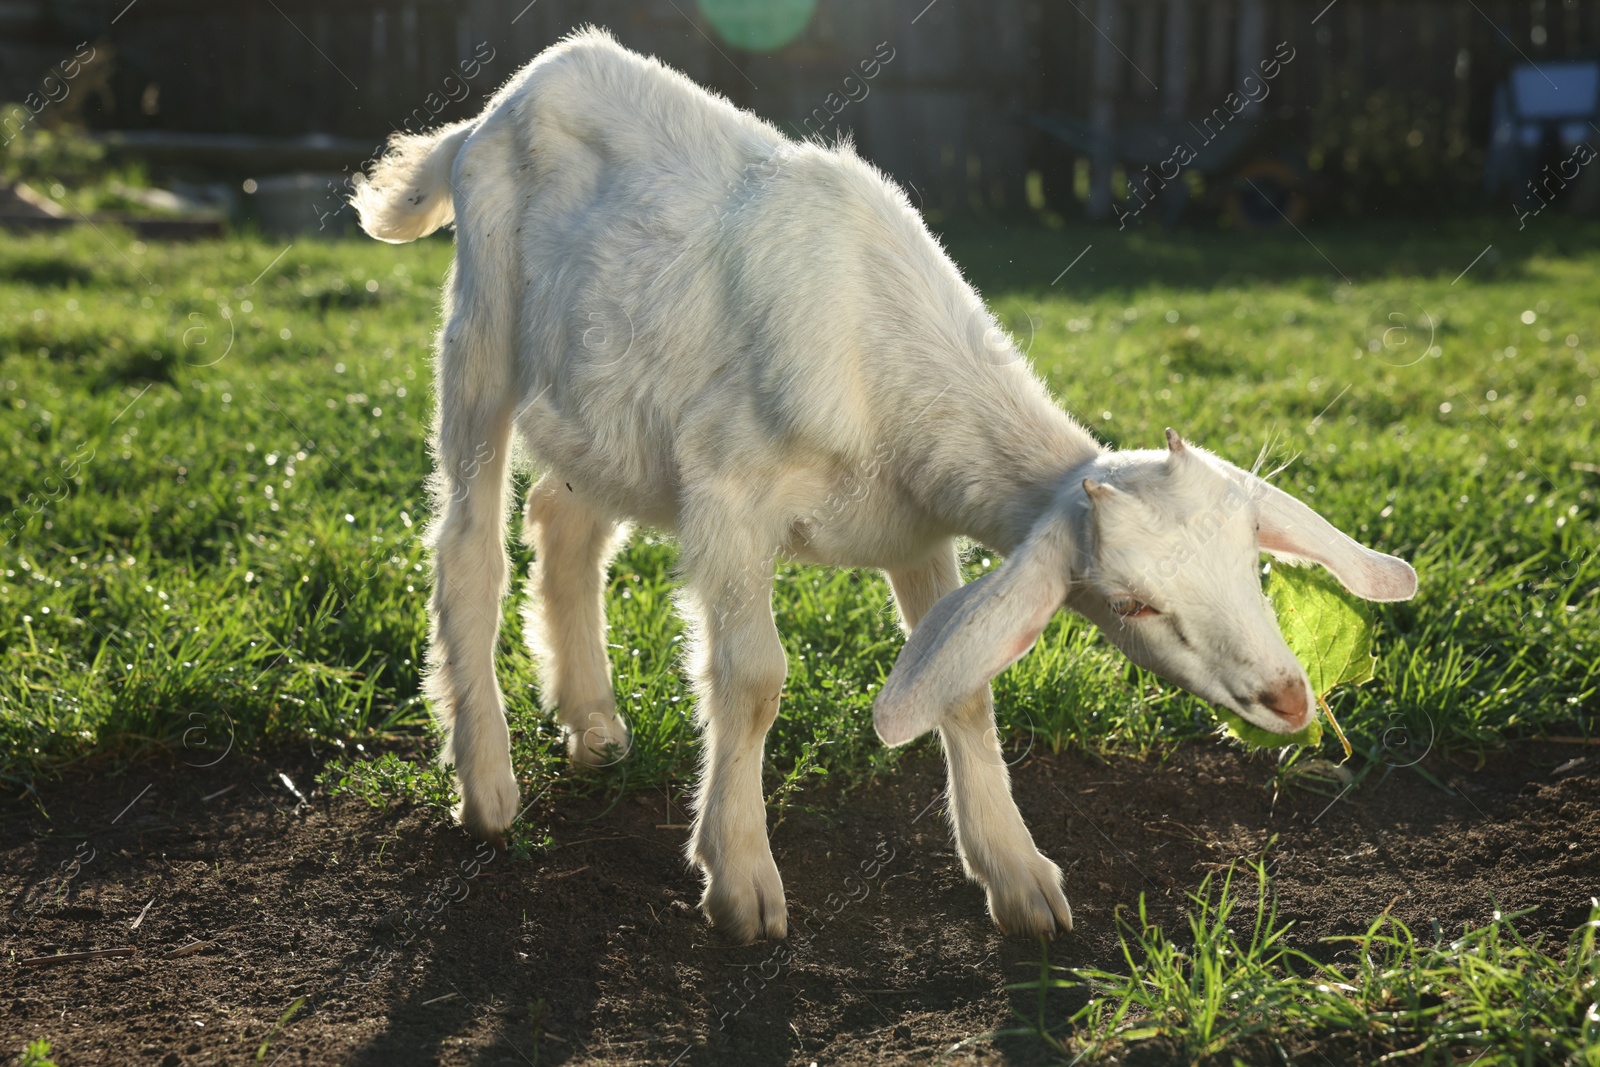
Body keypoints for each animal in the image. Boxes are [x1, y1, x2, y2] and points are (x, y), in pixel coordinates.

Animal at [356, 29, 1420, 940]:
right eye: (1133, 603)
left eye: (1252, 563)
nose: (1290, 698)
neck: (887, 369)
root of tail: (490, 112)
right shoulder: (727, 492)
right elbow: (753, 680)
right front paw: (740, 878)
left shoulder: (917, 530)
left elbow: (964, 689)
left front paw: (1018, 880)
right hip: (482, 329)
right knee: (468, 542)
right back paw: (487, 787)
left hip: (607, 415)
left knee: (562, 520)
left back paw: (592, 725)